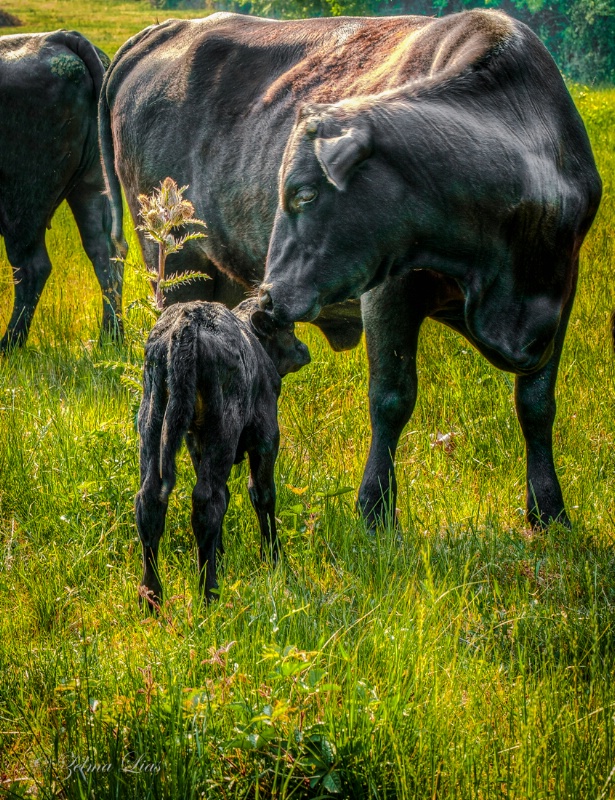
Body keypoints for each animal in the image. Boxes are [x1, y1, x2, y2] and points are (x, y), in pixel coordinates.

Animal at [0, 31, 122, 350]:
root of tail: (57, 37)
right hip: (93, 187)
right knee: (105, 253)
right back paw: (110, 336)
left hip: (21, 206)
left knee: (32, 267)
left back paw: (9, 344)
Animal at [101, 10, 600, 532]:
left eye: (303, 193)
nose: (271, 295)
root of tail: (170, 29)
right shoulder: (389, 292)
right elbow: (391, 399)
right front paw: (375, 509)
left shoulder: (558, 294)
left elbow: (536, 404)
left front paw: (549, 510)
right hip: (175, 264)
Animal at [133, 298, 310, 608]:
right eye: (289, 329)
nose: (304, 350)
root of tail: (187, 323)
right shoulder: (267, 437)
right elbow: (262, 494)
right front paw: (273, 559)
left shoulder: (195, 443)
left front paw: (220, 557)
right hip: (224, 426)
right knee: (207, 502)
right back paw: (209, 592)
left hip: (152, 417)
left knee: (150, 500)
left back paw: (152, 595)